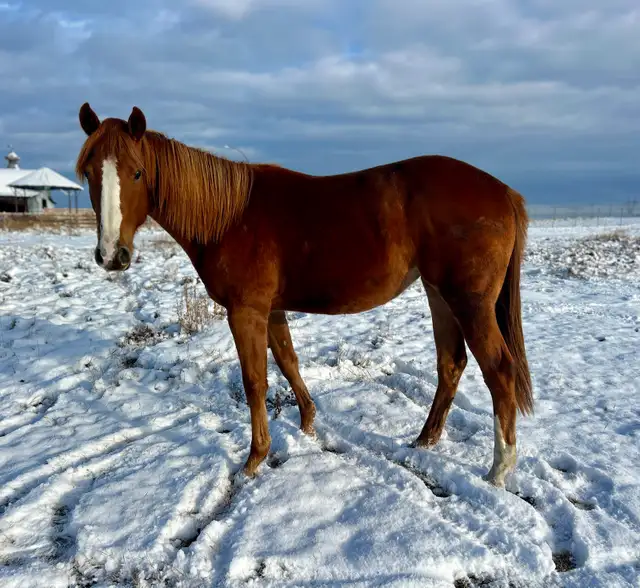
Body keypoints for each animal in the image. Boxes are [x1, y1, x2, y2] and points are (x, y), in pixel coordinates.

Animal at [75, 103, 533, 488]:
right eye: (90, 174)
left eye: (137, 173)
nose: (111, 256)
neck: (230, 217)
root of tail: (503, 191)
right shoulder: (272, 309)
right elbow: (287, 361)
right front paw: (308, 424)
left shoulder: (246, 312)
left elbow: (255, 380)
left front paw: (254, 459)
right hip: (439, 294)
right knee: (451, 364)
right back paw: (425, 440)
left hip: (469, 302)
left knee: (498, 370)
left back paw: (498, 469)